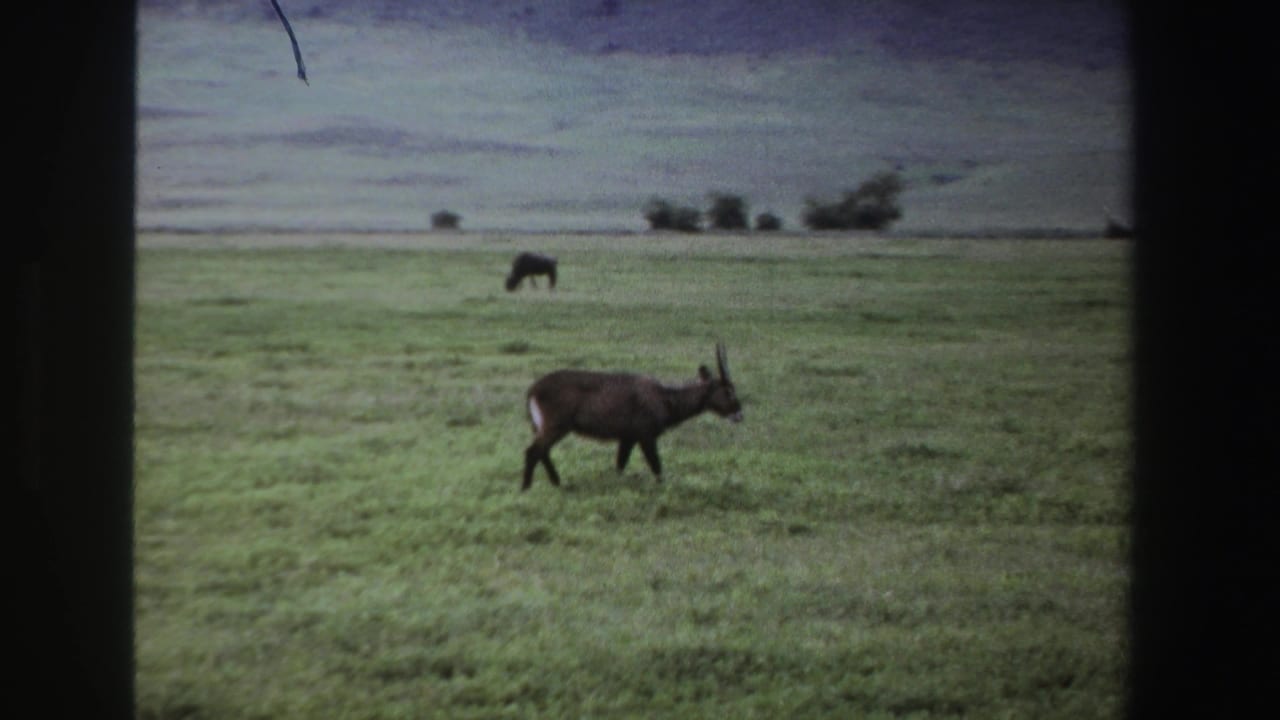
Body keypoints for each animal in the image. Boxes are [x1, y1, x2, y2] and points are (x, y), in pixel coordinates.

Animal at [521, 343, 743, 490]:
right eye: (728, 391)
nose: (739, 413)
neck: (664, 398)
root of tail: (533, 389)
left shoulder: (627, 438)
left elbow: (620, 465)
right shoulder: (646, 437)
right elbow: (656, 466)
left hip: (547, 427)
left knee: (542, 452)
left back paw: (557, 482)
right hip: (556, 426)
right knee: (533, 451)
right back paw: (527, 488)